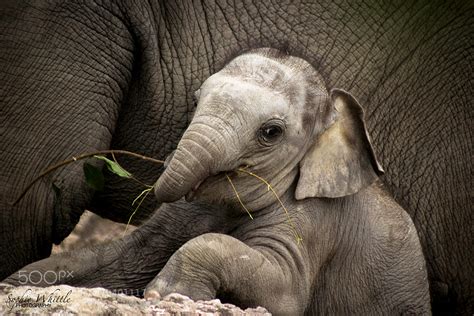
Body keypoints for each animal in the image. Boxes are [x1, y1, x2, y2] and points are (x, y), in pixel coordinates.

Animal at [147, 48, 430, 314]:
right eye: (195, 101)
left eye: (271, 132)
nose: (166, 162)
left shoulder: (315, 221)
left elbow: (287, 292)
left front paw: (166, 293)